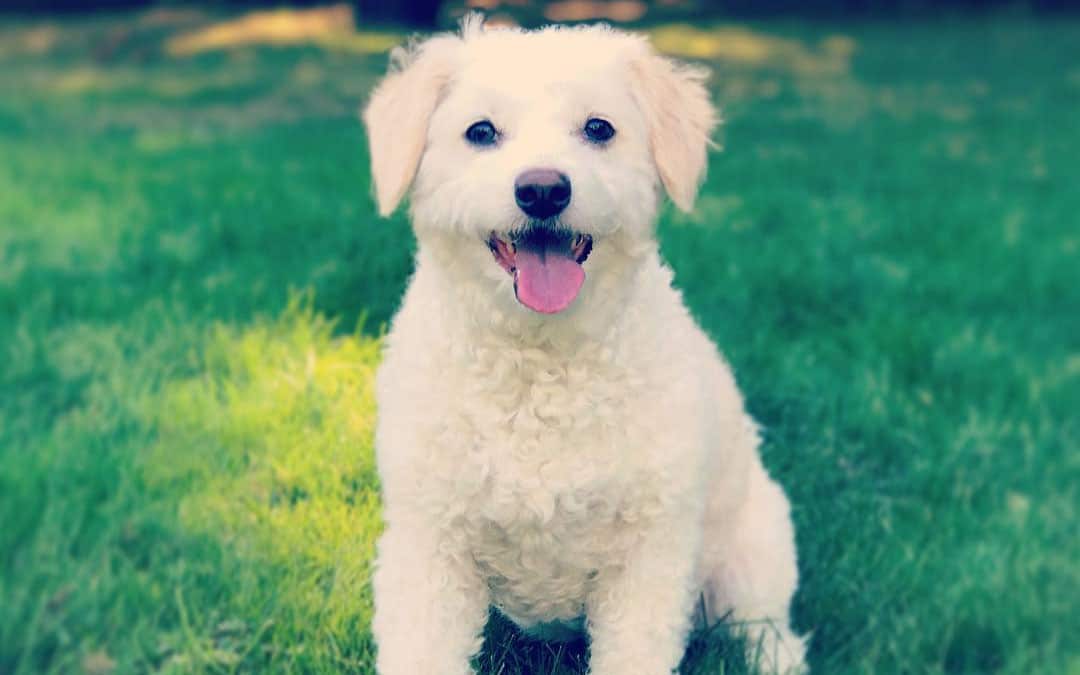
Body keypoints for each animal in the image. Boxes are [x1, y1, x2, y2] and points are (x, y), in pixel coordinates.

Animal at [367, 15, 807, 673]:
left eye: (599, 128)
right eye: (481, 131)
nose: (543, 190)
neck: (540, 367)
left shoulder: (649, 556)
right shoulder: (429, 545)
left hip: (753, 549)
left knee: (768, 628)